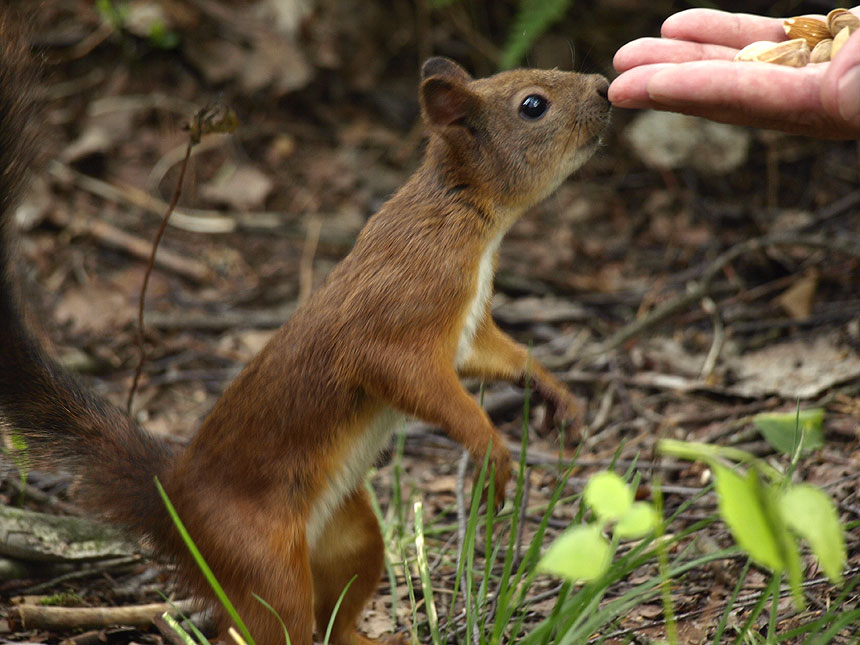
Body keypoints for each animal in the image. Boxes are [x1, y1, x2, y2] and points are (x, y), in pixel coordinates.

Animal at [1, 15, 612, 644]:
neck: (464, 217)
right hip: (261, 565)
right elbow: (418, 382)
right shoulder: (397, 323)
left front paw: (558, 396)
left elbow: (498, 356)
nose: (603, 87)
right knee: (265, 626)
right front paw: (493, 454)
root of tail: (175, 504)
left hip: (352, 538)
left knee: (336, 618)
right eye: (533, 105)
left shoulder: (466, 331)